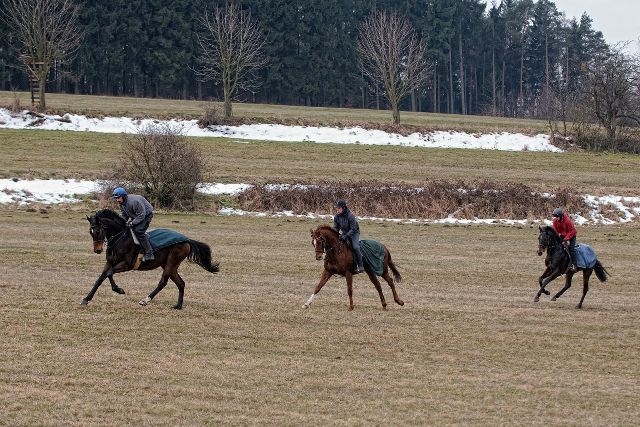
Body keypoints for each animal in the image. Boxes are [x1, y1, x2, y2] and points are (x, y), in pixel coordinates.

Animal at [84, 209, 219, 310]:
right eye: (90, 231)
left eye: (98, 230)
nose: (97, 250)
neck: (120, 238)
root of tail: (187, 240)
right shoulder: (110, 262)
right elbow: (101, 278)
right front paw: (86, 299)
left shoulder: (127, 264)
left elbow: (109, 273)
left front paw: (119, 289)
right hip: (170, 265)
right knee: (181, 283)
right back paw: (178, 305)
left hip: (171, 262)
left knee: (163, 282)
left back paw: (145, 300)